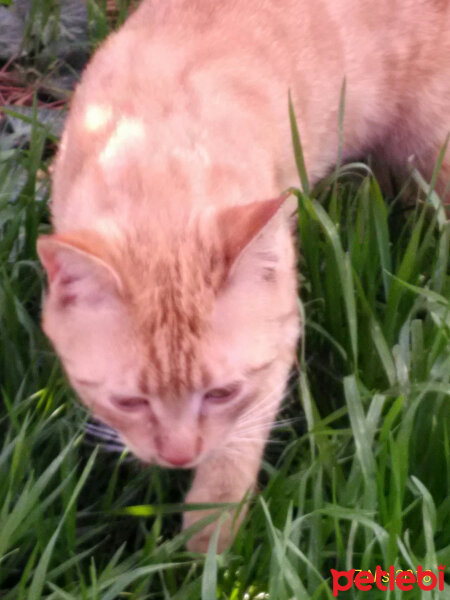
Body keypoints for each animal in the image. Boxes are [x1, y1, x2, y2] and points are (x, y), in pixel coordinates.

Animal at [37, 0, 450, 552]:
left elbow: (232, 458)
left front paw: (207, 550)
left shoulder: (277, 348)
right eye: (129, 401)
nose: (179, 456)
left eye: (221, 393)